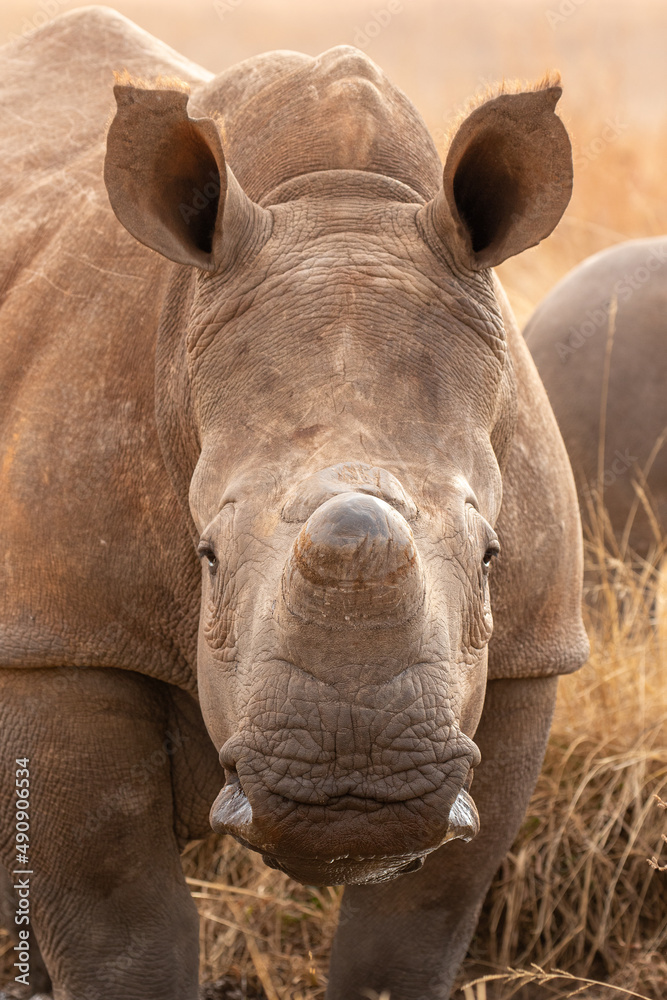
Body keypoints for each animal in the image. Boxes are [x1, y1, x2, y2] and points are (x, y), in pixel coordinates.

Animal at [0, 8, 589, 999]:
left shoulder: (527, 654)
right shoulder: (57, 636)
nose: (354, 794)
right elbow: (125, 929)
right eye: (206, 554)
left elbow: (409, 936)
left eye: (491, 555)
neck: (339, 199)